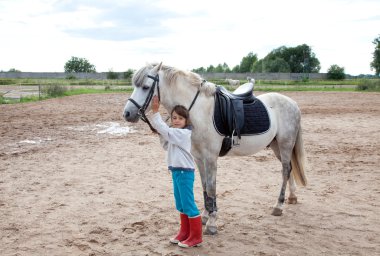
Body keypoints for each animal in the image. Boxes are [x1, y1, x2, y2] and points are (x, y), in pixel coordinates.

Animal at [123, 63, 308, 235]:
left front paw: (212, 224)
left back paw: (279, 205)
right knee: (289, 168)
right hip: (277, 146)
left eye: (145, 87)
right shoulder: (198, 158)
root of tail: (292, 103)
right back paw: (292, 197)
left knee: (285, 170)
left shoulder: (210, 157)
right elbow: (204, 186)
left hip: (285, 144)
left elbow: (211, 188)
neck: (198, 111)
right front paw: (205, 216)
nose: (127, 114)